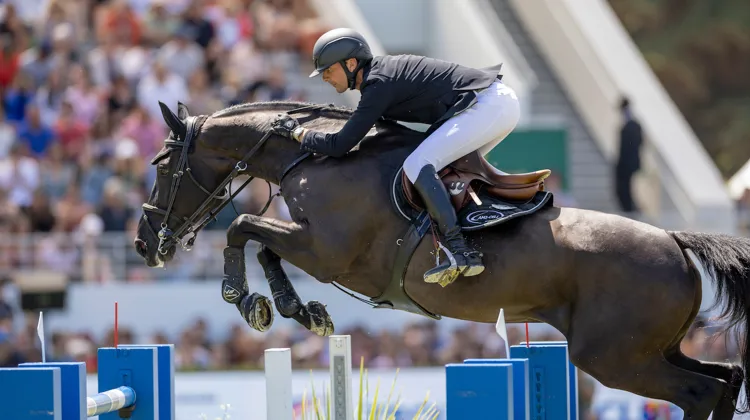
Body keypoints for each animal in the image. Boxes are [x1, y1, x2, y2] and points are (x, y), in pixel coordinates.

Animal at [134, 100, 750, 419]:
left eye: (162, 165)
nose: (144, 244)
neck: (311, 156)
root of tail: (675, 243)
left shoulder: (326, 252)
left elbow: (244, 229)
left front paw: (247, 301)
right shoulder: (311, 245)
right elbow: (262, 242)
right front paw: (300, 311)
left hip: (614, 358)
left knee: (699, 392)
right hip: (651, 350)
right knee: (725, 378)